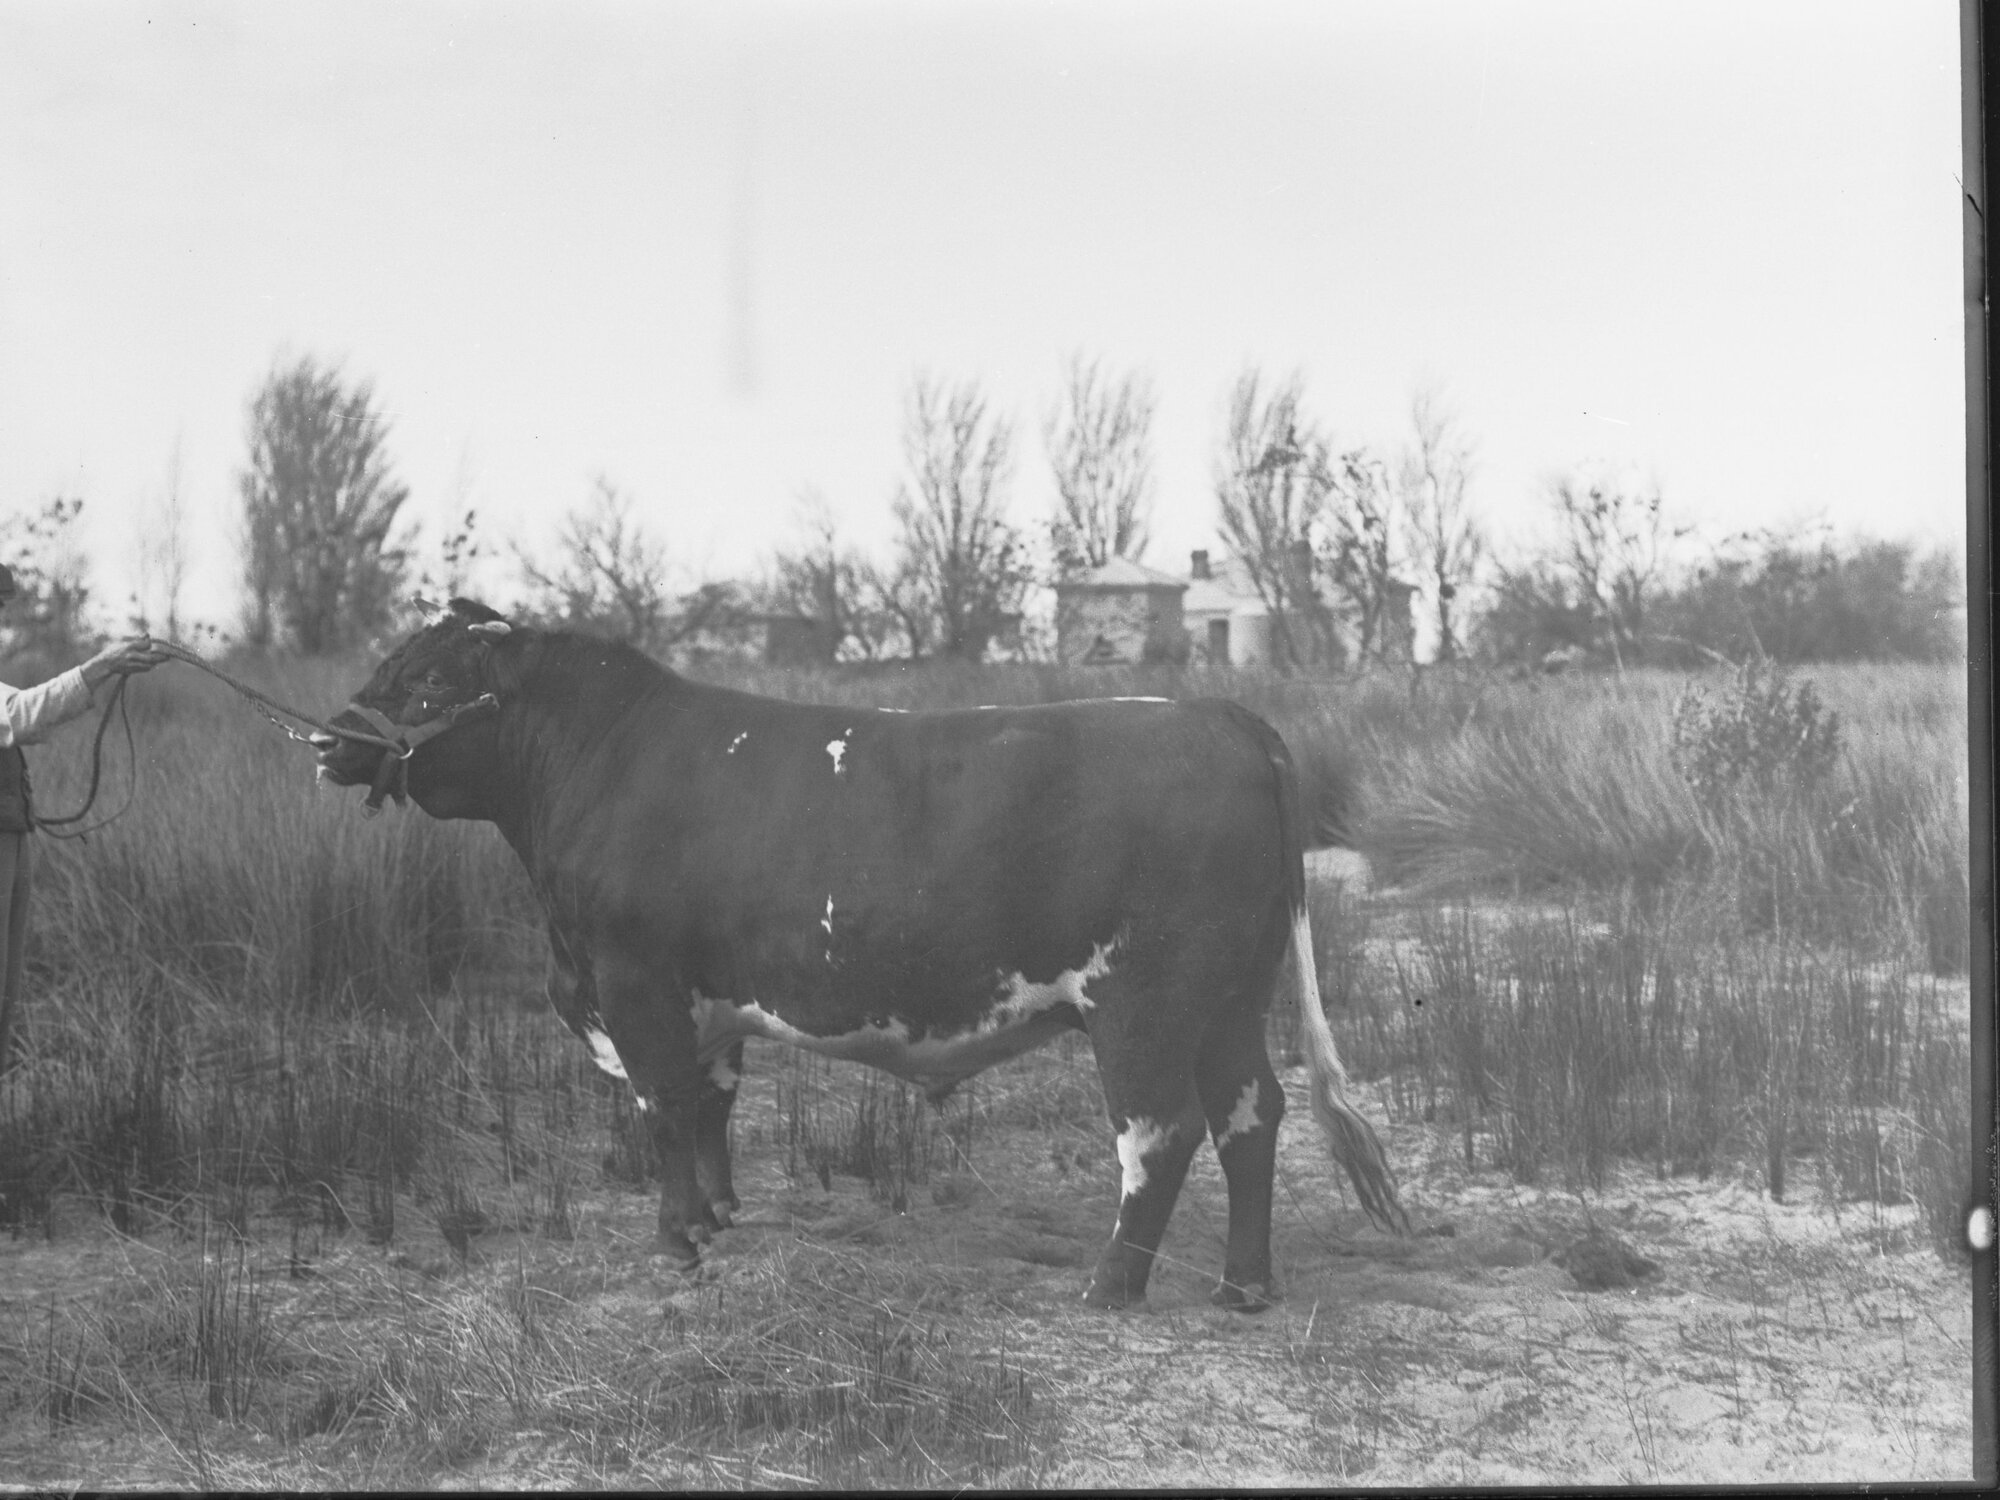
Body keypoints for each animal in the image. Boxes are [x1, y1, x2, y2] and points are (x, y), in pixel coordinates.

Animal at [313, 598, 1405, 1310]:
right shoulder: (708, 994)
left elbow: (662, 1103)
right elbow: (710, 1102)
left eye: (431, 680)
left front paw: (673, 1244)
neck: (603, 760)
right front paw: (715, 1215)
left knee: (1161, 1132)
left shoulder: (634, 979)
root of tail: (1219, 715)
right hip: (1230, 1001)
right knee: (1249, 1119)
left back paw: (1111, 1285)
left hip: (1145, 1003)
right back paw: (1242, 1285)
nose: (328, 740)